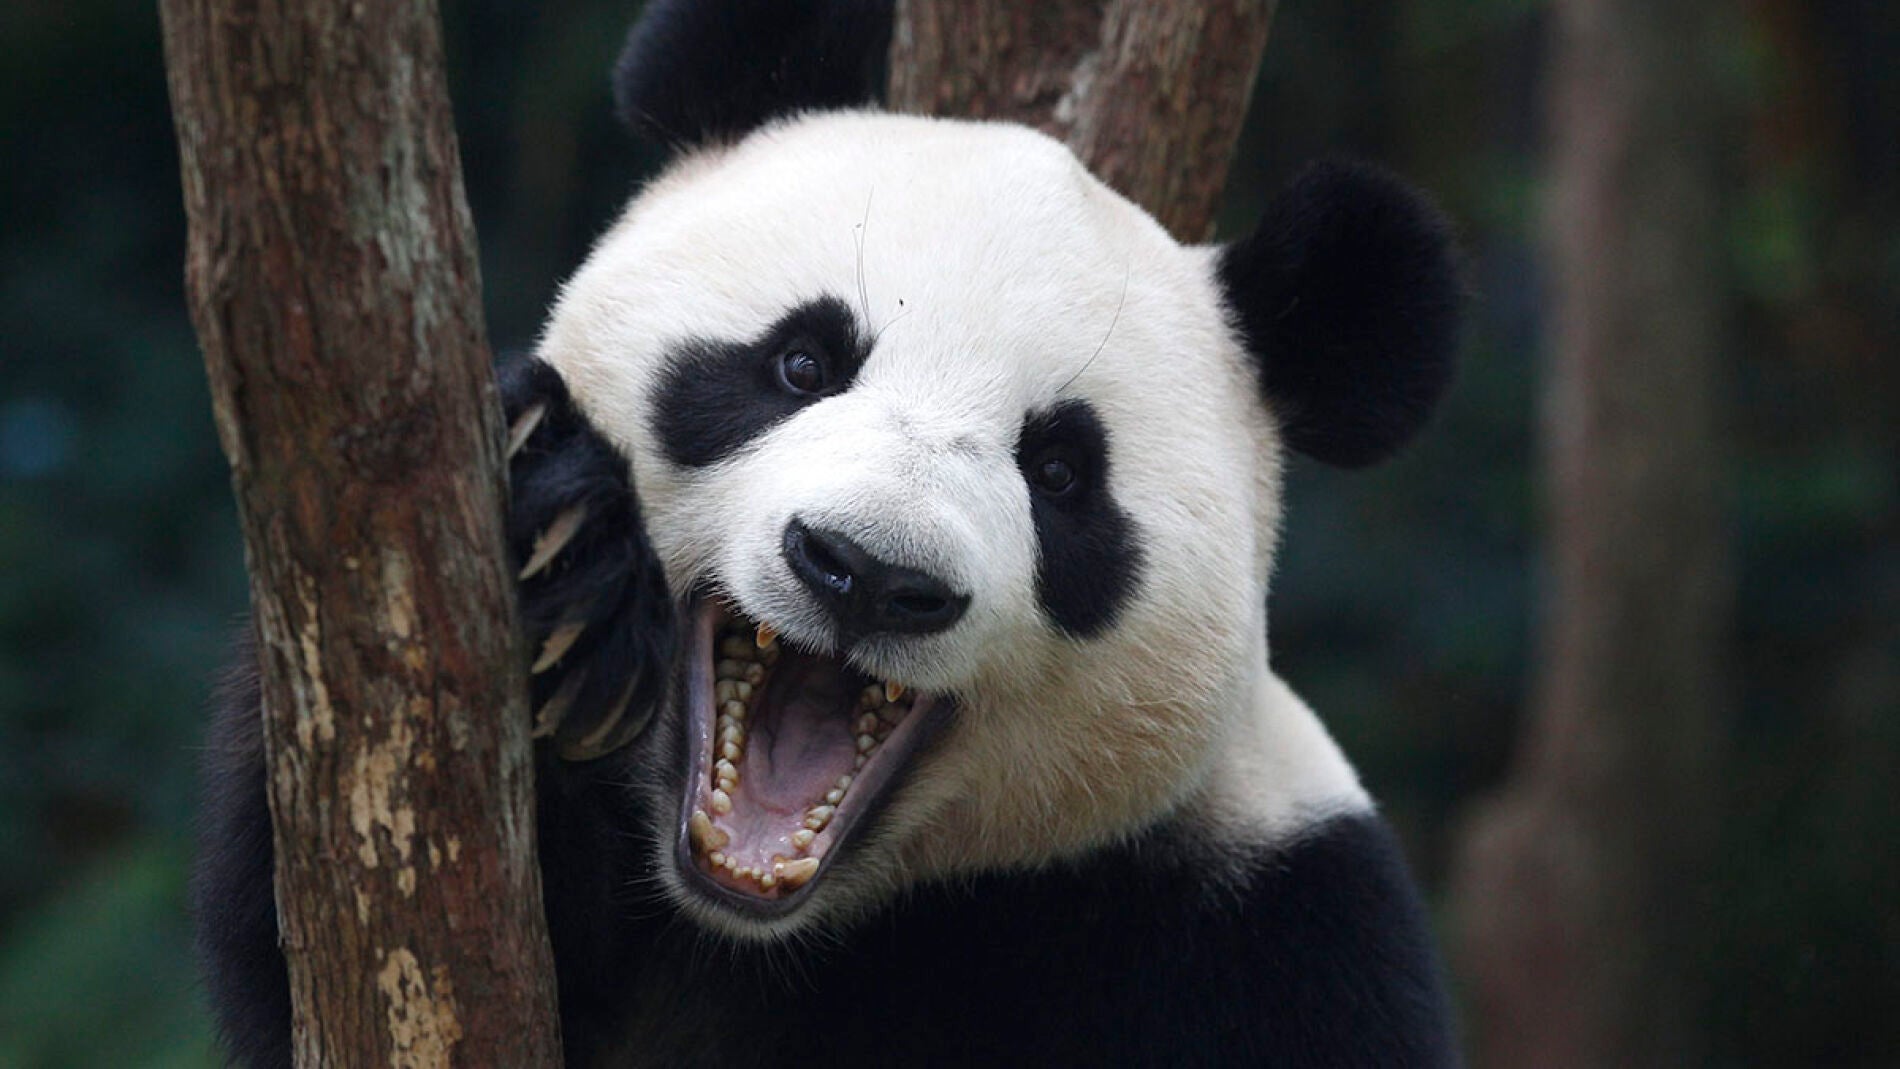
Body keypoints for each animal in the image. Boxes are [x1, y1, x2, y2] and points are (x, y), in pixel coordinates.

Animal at [194, 0, 1464, 1065]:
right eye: (801, 363)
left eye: (1061, 473)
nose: (868, 573)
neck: (765, 932)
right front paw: (568, 549)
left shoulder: (1267, 930)